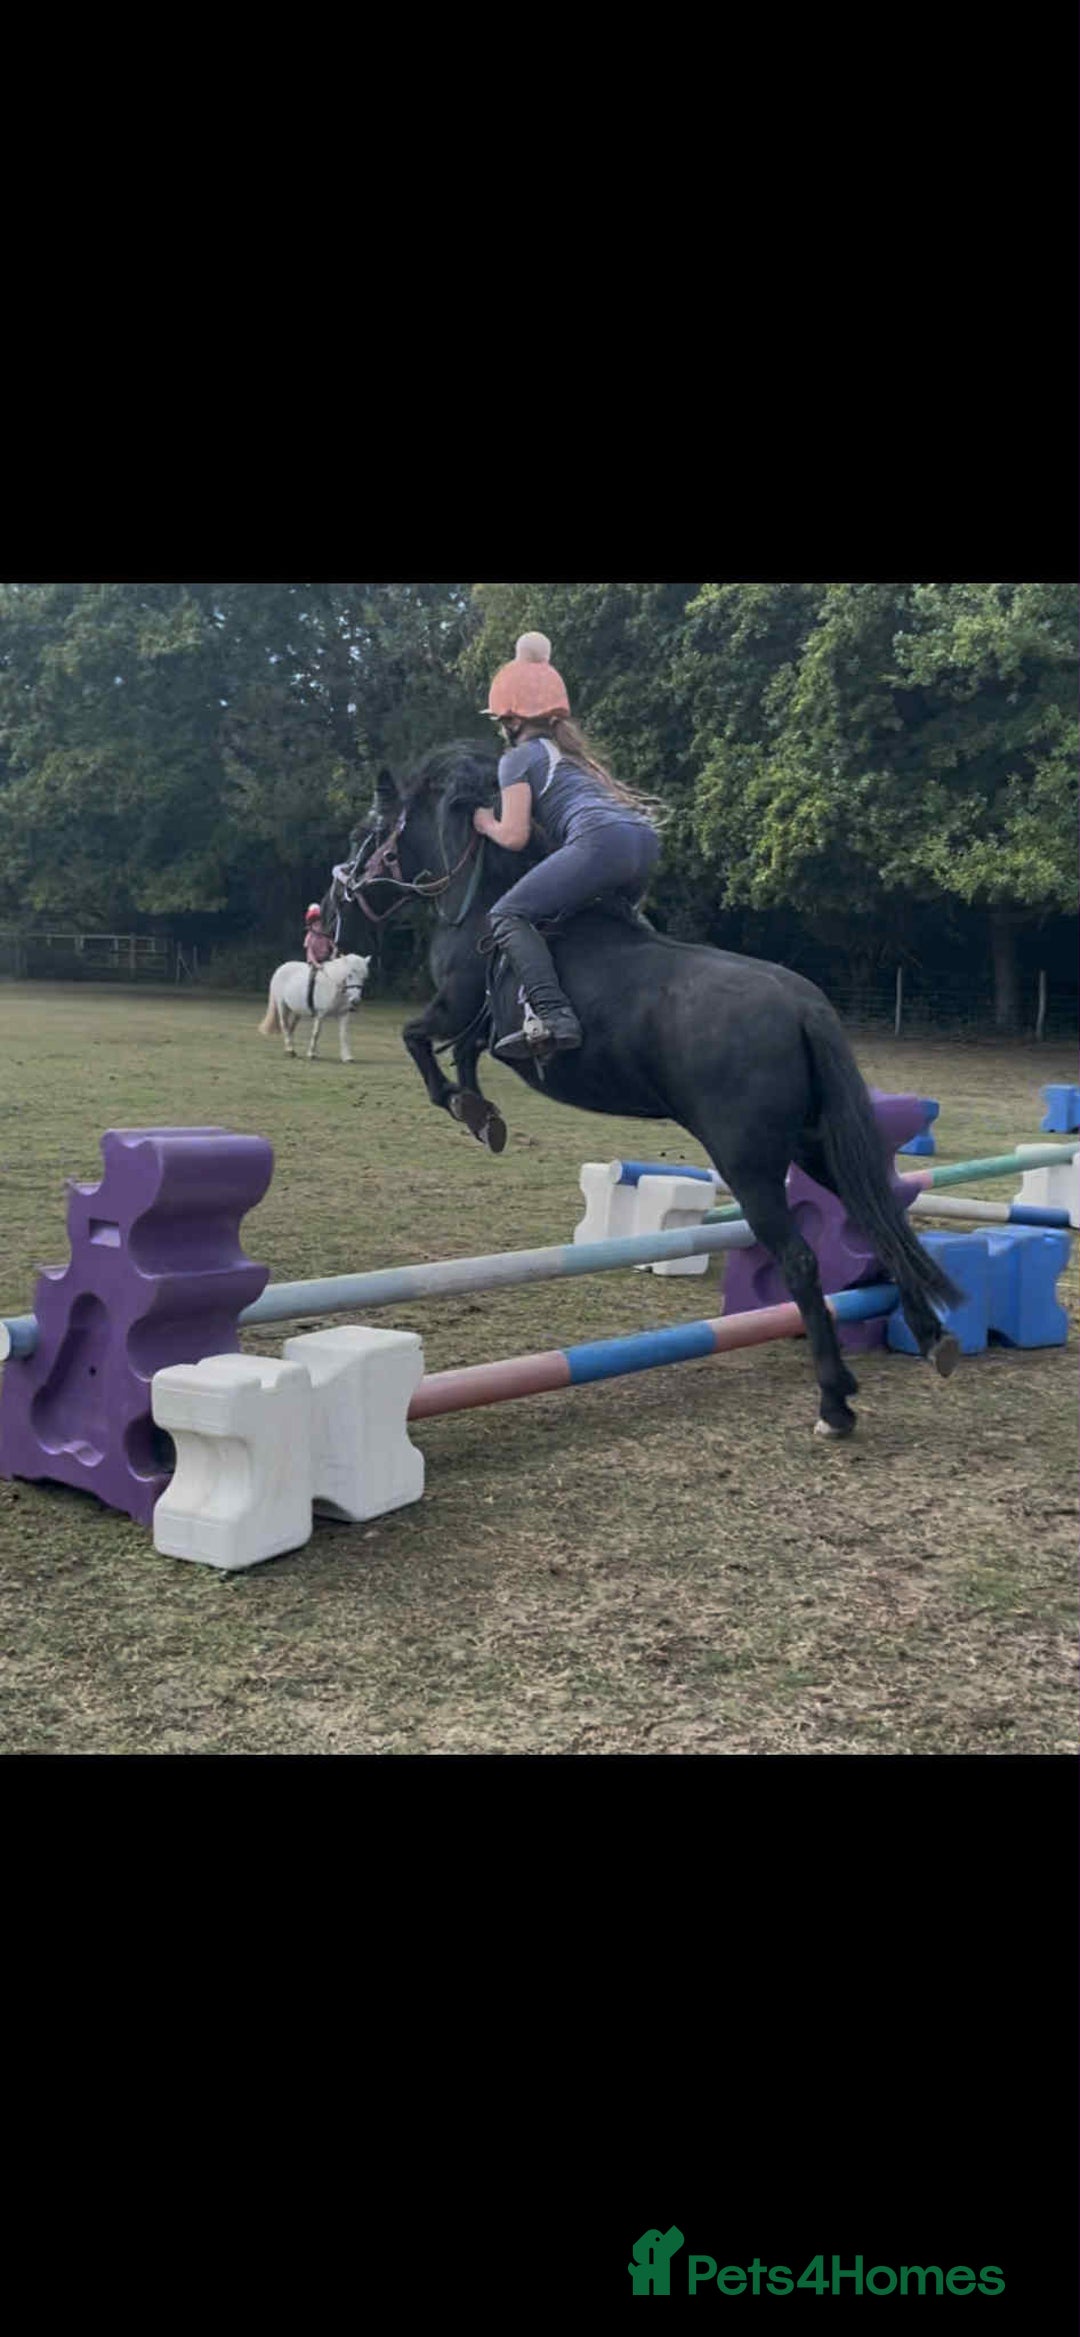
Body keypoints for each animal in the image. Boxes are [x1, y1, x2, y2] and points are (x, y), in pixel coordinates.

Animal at [324, 743, 962, 1439]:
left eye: (364, 834)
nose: (332, 919)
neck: (478, 899)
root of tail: (802, 1005)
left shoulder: (455, 1003)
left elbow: (419, 1042)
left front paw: (464, 1105)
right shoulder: (481, 1025)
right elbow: (465, 1053)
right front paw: (483, 1116)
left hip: (749, 1162)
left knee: (799, 1259)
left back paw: (835, 1403)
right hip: (815, 1146)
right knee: (879, 1220)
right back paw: (932, 1338)